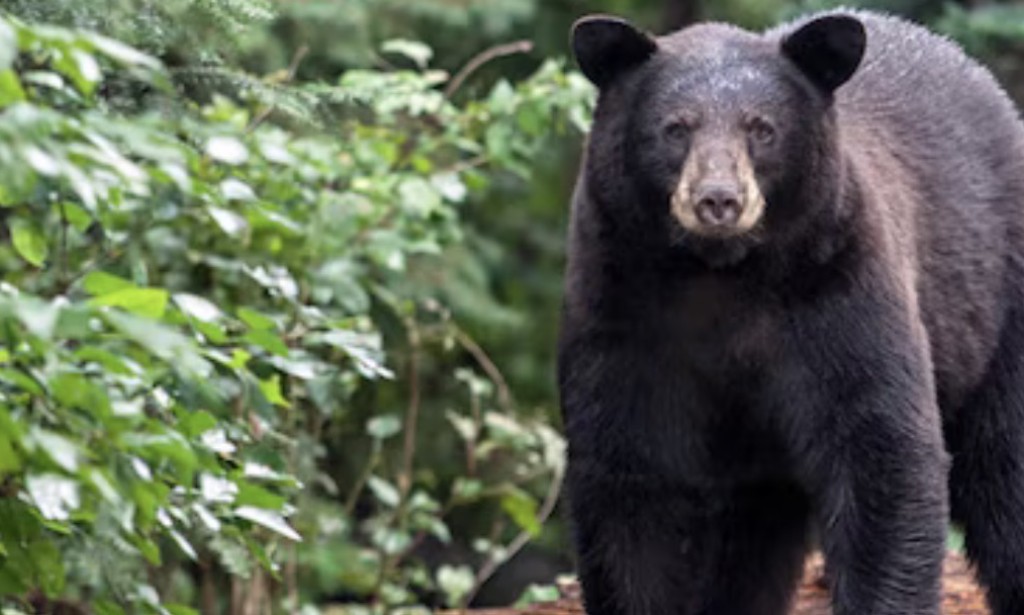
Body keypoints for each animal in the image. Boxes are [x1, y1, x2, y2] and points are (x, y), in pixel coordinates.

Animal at [557, 9, 1024, 615]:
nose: (718, 199)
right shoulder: (619, 305)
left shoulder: (840, 289)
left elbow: (881, 450)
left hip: (999, 303)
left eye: (762, 128)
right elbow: (628, 476)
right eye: (675, 128)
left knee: (1006, 466)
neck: (721, 275)